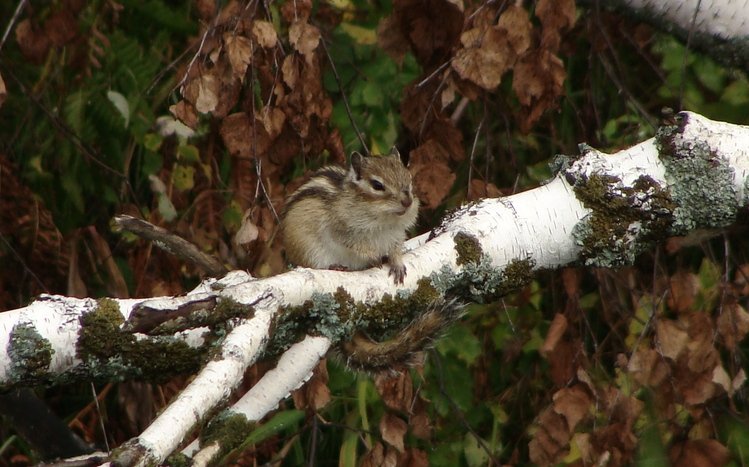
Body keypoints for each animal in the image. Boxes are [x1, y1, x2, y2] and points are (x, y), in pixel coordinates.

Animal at [281, 147, 419, 284]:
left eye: (409, 178)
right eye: (377, 185)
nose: (408, 202)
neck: (385, 219)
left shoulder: (396, 233)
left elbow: (396, 249)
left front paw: (397, 263)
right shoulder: (340, 229)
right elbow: (354, 245)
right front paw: (373, 256)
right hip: (307, 250)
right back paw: (334, 266)